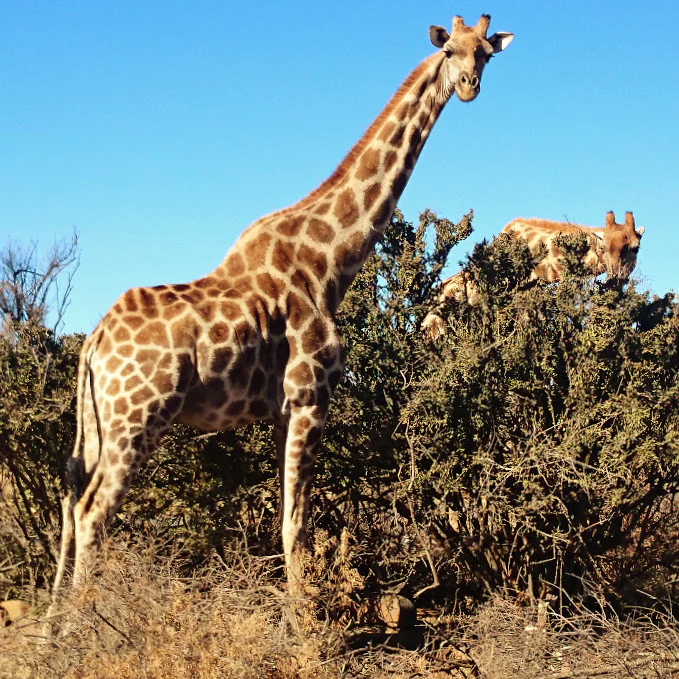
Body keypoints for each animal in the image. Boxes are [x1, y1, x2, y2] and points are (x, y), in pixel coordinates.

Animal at [50, 14, 514, 606]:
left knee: (69, 502)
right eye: (450, 50)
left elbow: (291, 523)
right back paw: (79, 622)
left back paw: (51, 621)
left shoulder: (280, 410)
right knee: (92, 512)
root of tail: (93, 343)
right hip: (138, 416)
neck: (332, 262)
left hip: (97, 422)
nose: (470, 86)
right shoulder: (310, 395)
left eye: (486, 54)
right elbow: (297, 527)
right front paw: (307, 624)